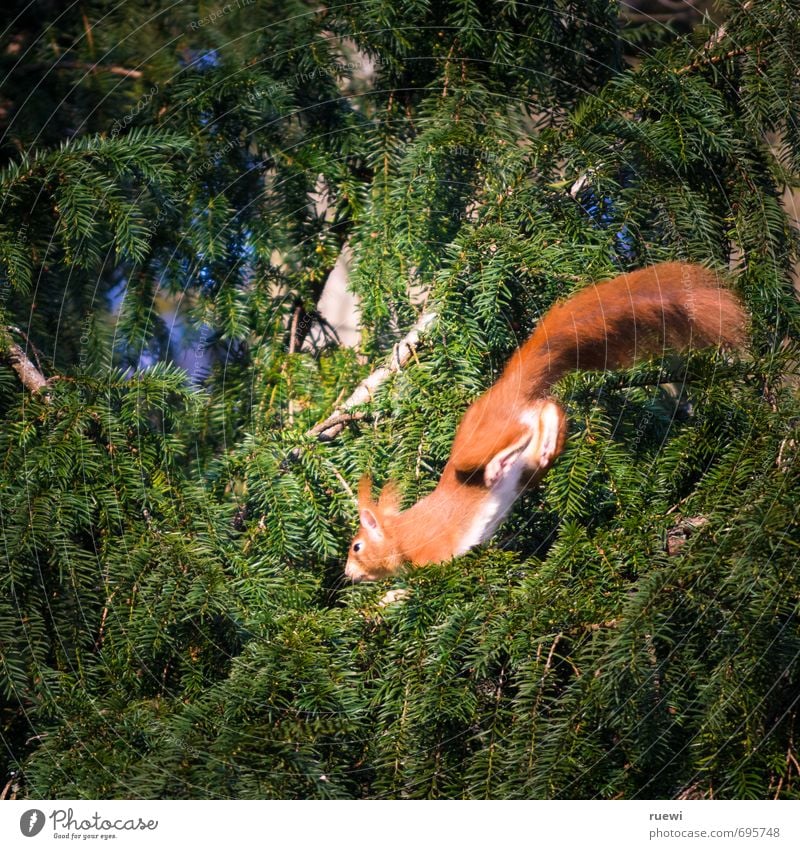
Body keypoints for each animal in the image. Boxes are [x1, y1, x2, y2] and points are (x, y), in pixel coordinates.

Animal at [346, 264, 752, 584]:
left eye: (356, 546)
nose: (348, 573)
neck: (401, 535)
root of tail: (507, 386)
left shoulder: (432, 554)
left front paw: (390, 596)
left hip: (478, 444)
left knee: (517, 432)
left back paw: (498, 465)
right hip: (528, 452)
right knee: (547, 411)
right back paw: (548, 446)